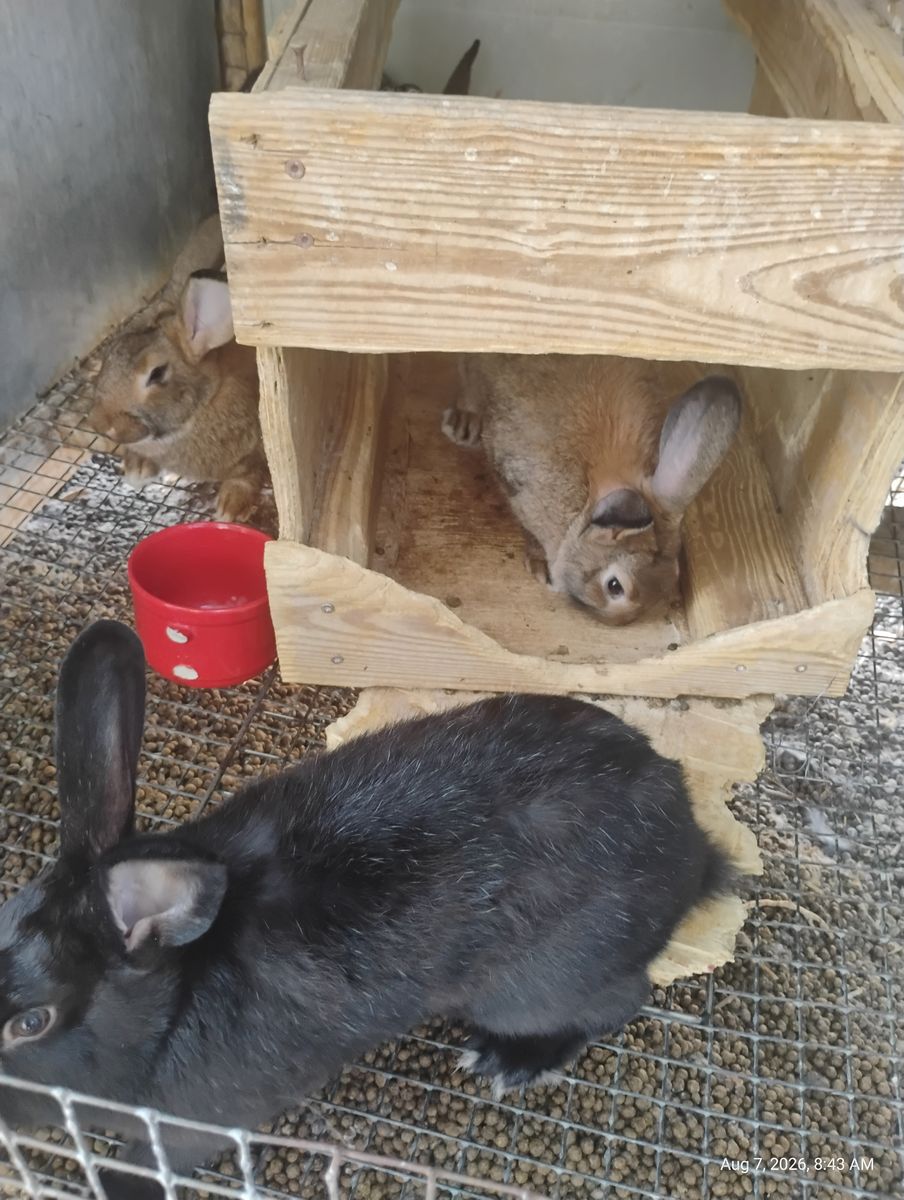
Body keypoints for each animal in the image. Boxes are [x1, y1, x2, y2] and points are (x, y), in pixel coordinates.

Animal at [0, 620, 732, 1198]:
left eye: (32, 1023)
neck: (172, 1002)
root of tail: (693, 845)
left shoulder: (194, 1122)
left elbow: (154, 1159)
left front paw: (113, 1184)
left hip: (536, 987)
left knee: (619, 1001)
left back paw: (510, 1062)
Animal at [89, 217, 267, 524]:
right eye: (110, 355)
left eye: (157, 373)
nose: (100, 424)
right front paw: (136, 469)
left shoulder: (256, 451)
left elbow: (247, 475)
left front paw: (230, 506)